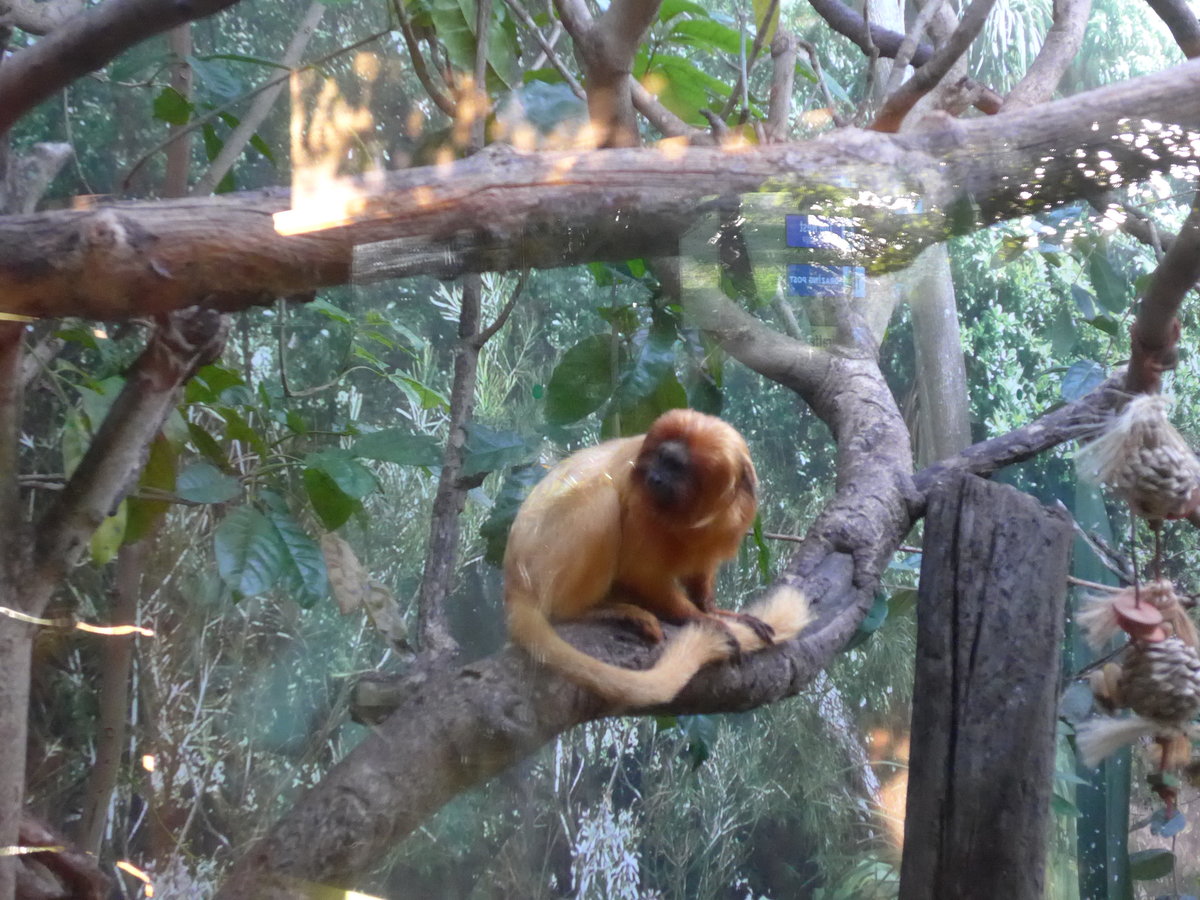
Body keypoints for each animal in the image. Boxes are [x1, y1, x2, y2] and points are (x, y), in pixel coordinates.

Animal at [503, 408, 810, 708]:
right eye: (663, 459)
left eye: (676, 467)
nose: (656, 478)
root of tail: (516, 583)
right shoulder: (640, 500)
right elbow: (640, 572)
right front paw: (702, 619)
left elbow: (700, 568)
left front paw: (713, 610)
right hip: (544, 564)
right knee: (602, 498)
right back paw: (595, 610)